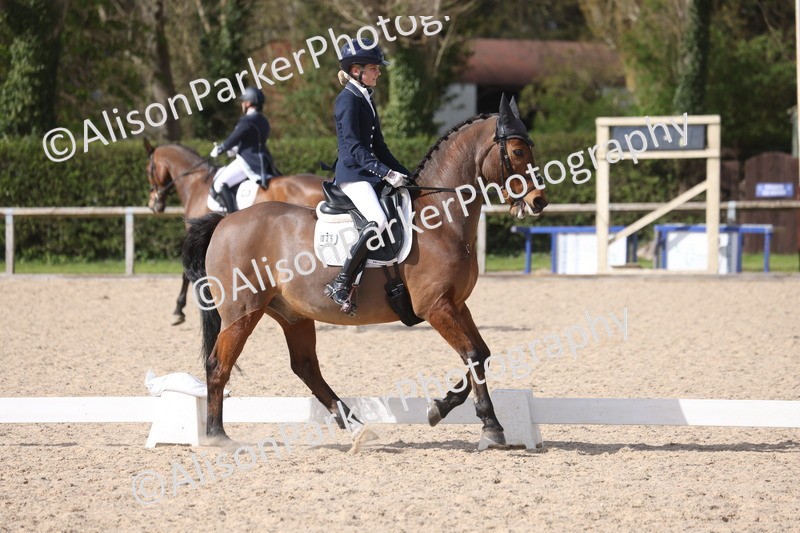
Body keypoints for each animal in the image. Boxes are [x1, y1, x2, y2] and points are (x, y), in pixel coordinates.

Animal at [182, 96, 548, 448]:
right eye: (518, 151)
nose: (539, 201)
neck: (440, 219)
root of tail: (224, 221)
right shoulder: (436, 306)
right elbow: (472, 355)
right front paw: (488, 425)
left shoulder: (456, 304)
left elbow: (482, 355)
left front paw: (447, 408)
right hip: (242, 312)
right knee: (219, 365)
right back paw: (216, 436)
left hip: (293, 314)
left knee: (305, 367)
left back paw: (358, 427)